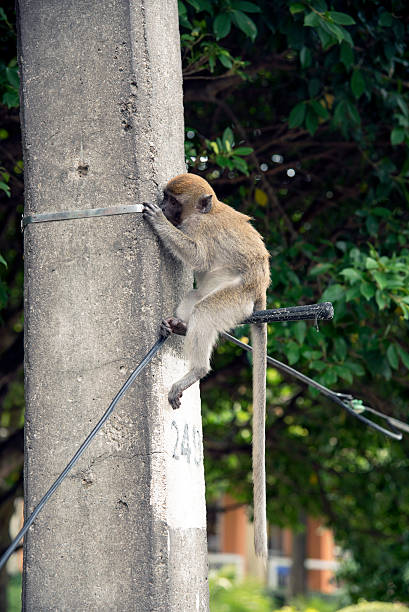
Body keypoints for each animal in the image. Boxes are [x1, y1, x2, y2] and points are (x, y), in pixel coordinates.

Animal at [142, 173, 270, 560]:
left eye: (172, 200)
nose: (164, 206)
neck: (206, 211)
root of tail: (259, 288)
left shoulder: (197, 228)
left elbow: (197, 254)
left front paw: (158, 223)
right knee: (197, 297)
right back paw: (179, 326)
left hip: (236, 299)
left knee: (206, 310)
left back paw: (195, 371)